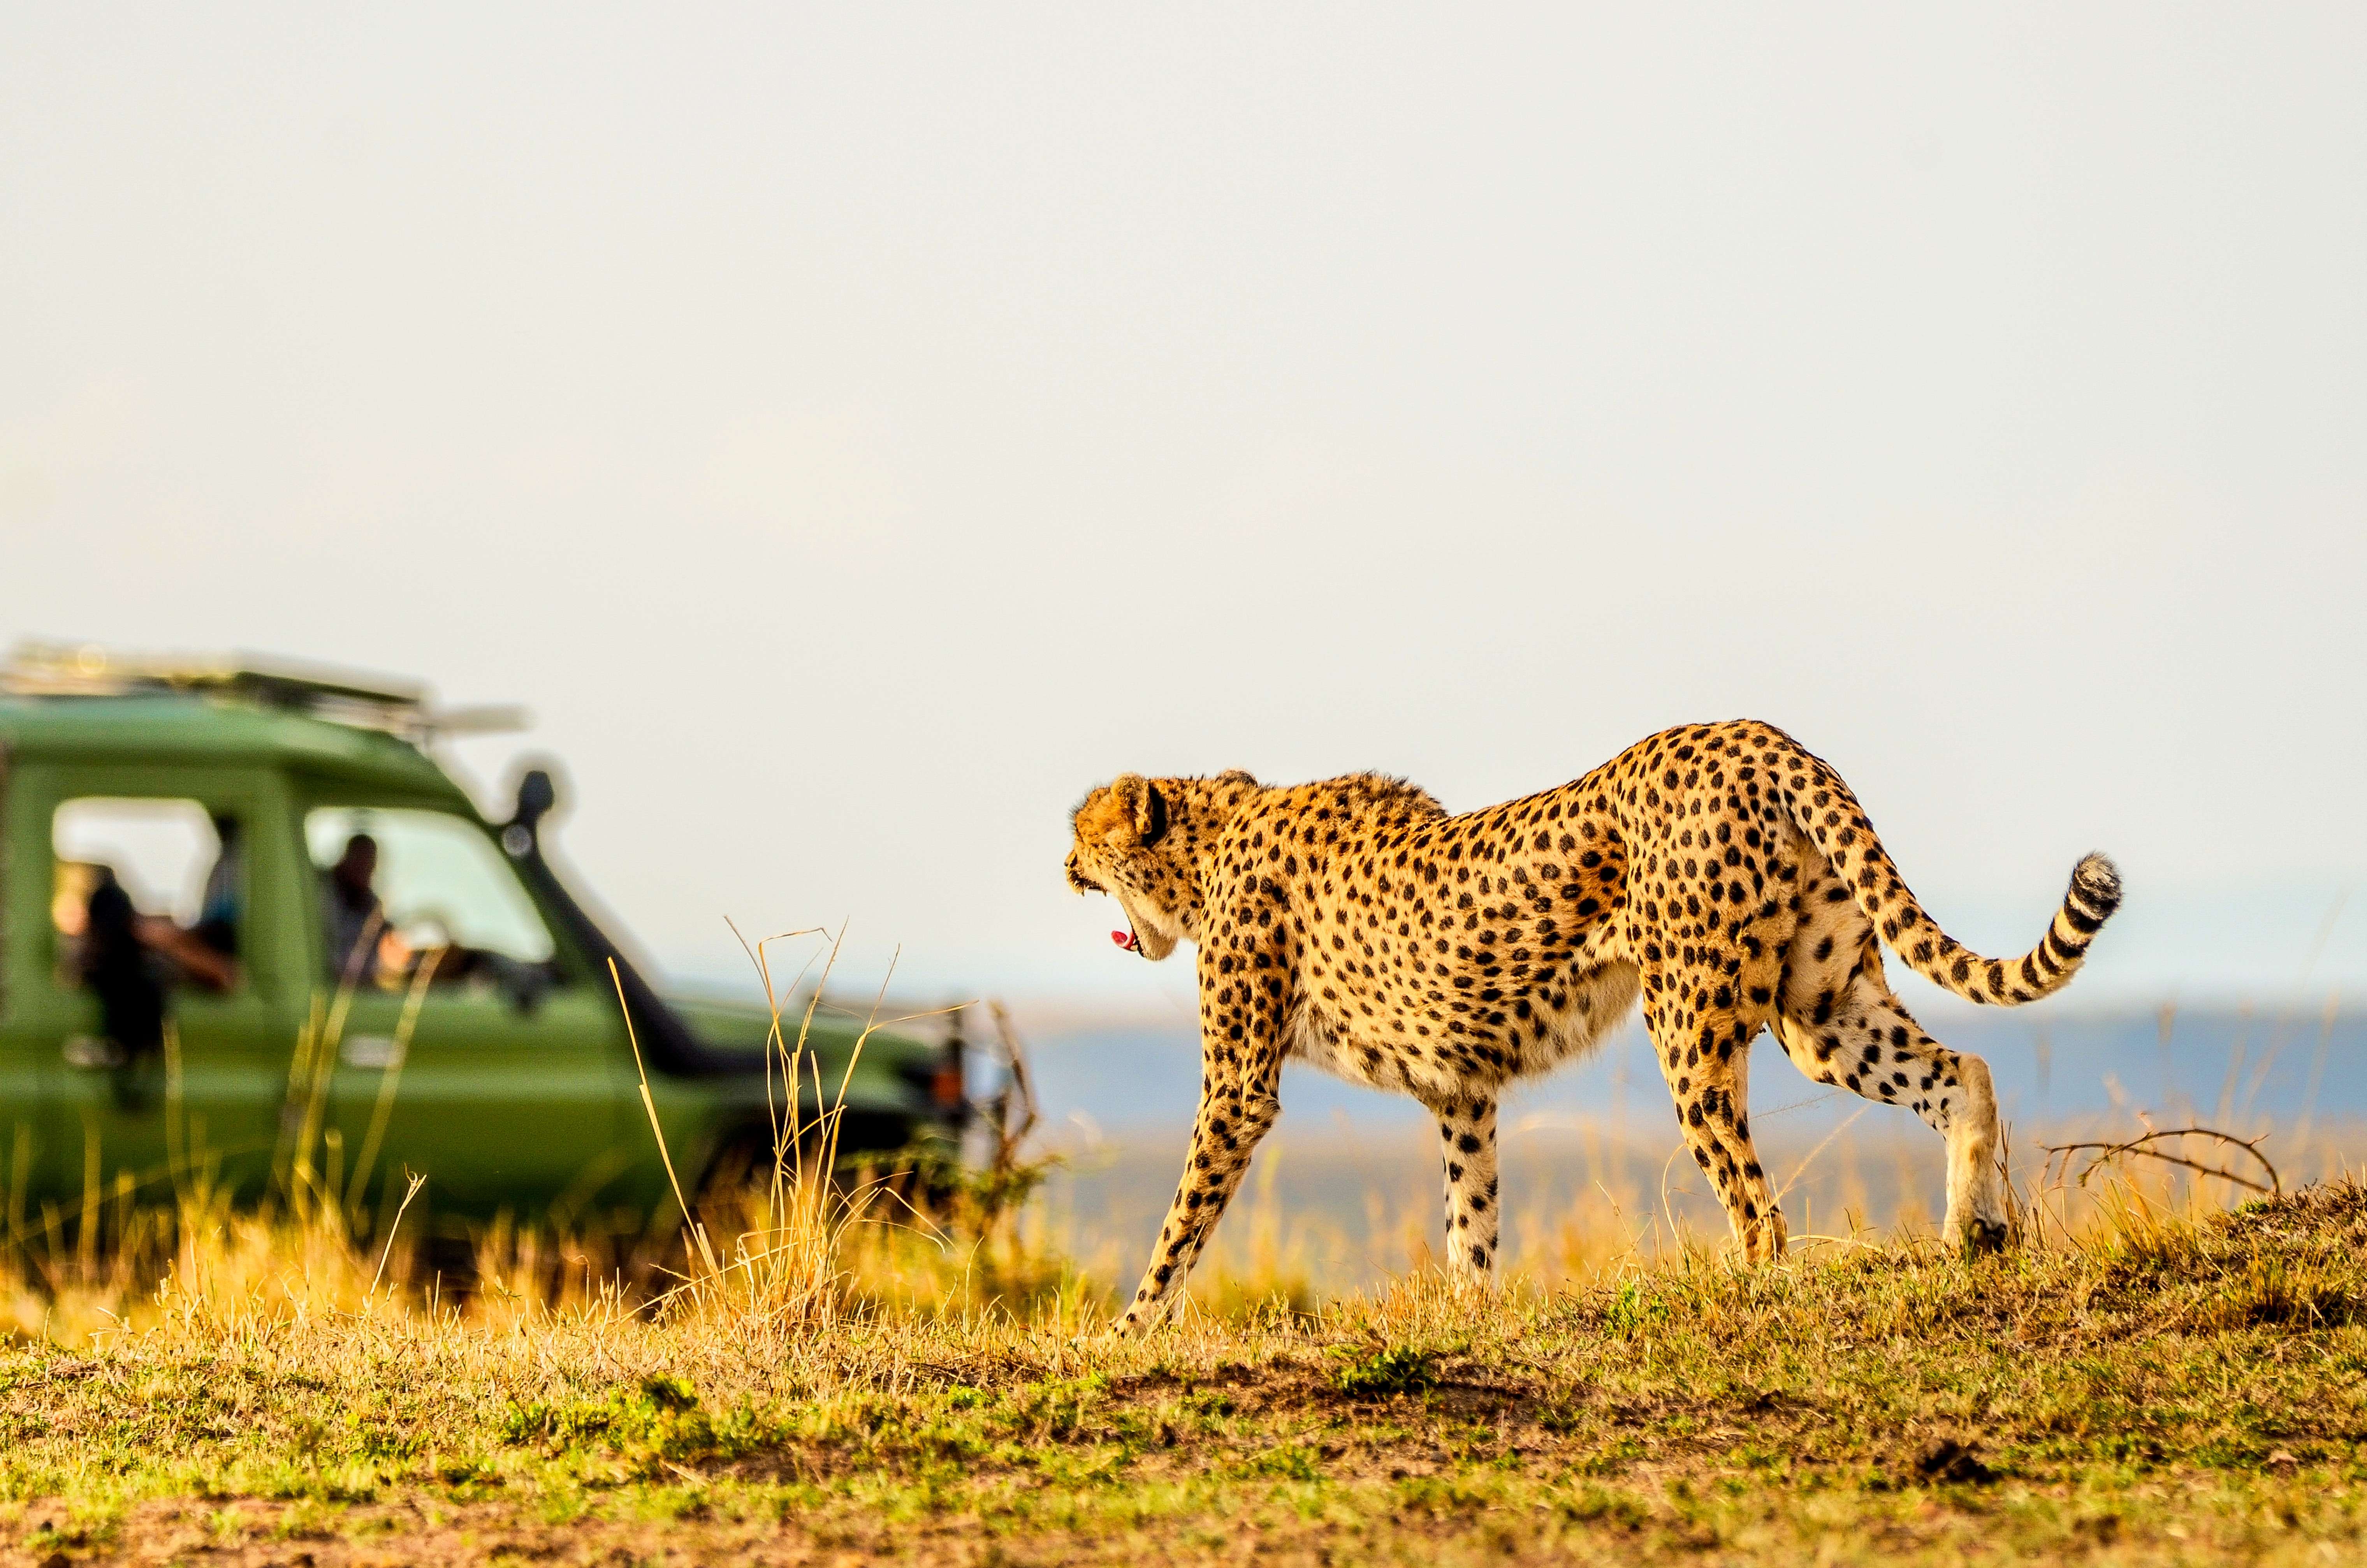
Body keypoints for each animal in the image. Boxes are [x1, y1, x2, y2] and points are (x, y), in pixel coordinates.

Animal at [1063, 719, 2121, 1333]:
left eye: (1082, 834)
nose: (1064, 867)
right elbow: (1471, 1214)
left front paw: (1126, 1335)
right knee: (1961, 1072)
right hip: (1820, 1011)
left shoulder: (1240, 1086)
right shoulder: (1462, 1089)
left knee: (1758, 1209)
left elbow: (1182, 1217)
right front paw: (1470, 1317)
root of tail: (1754, 732)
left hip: (1688, 1026)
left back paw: (1747, 1294)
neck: (1211, 844)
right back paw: (1971, 1238)